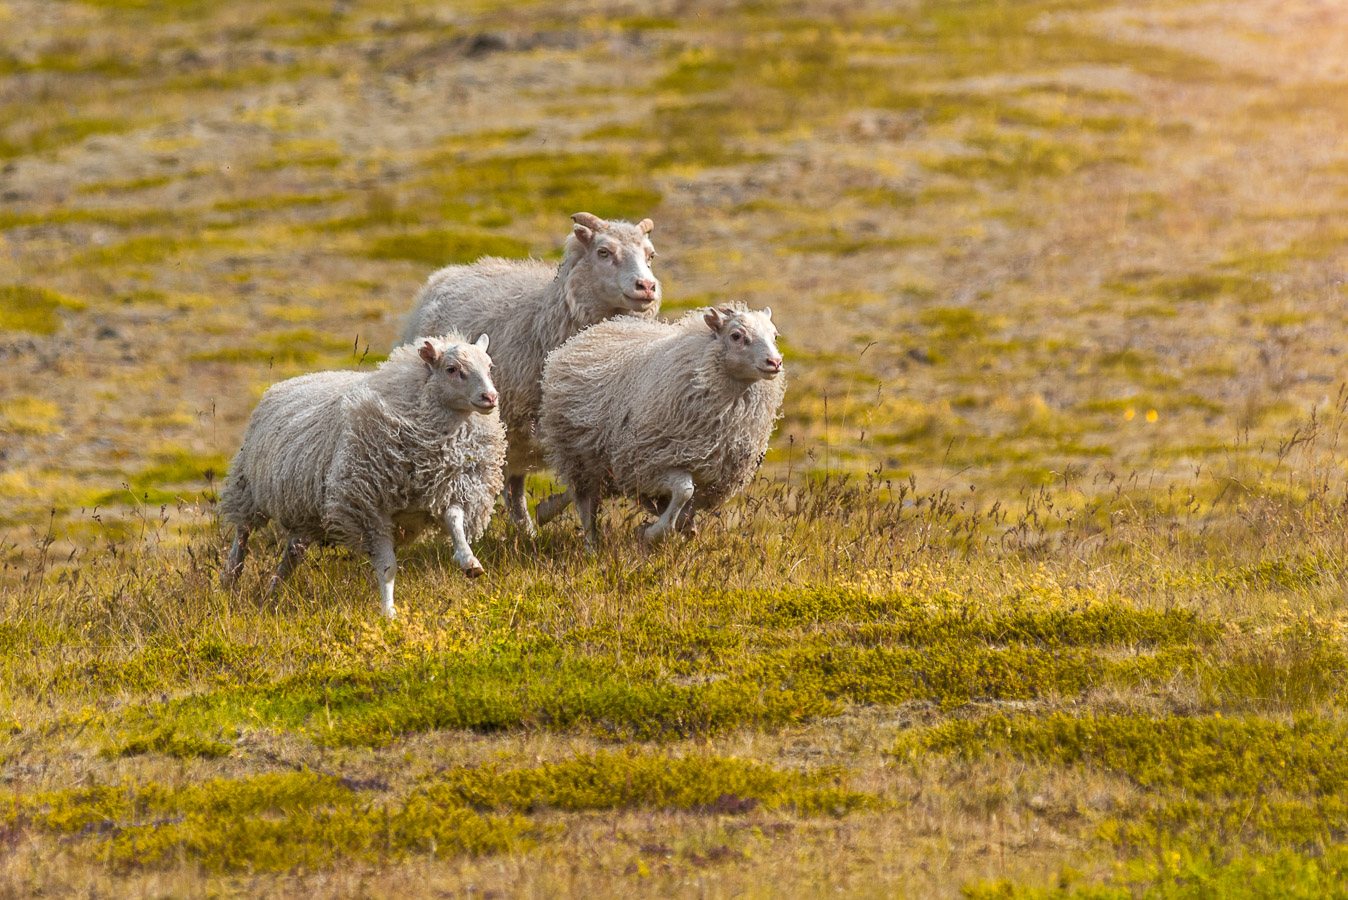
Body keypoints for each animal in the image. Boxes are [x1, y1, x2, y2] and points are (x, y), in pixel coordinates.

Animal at [218, 333, 506, 618]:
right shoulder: (368, 508)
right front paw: (389, 614)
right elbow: (388, 567)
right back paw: (230, 578)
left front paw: (469, 561)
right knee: (243, 534)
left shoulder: (448, 486)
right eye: (452, 369)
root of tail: (292, 380)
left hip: (305, 510)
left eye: (490, 367)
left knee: (292, 553)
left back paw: (273, 592)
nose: (490, 397)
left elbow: (455, 519)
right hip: (247, 489)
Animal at [398, 211, 661, 537]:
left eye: (650, 256)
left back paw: (527, 532)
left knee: (514, 484)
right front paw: (548, 510)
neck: (547, 318)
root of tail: (448, 273)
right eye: (604, 252)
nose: (646, 286)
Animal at [538, 304, 785, 549]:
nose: (775, 362)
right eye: (736, 336)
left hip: (600, 462)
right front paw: (652, 533)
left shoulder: (708, 477)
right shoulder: (650, 464)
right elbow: (684, 491)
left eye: (774, 335)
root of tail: (588, 333)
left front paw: (680, 527)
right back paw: (590, 545)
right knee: (585, 503)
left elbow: (685, 506)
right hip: (577, 455)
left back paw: (547, 509)